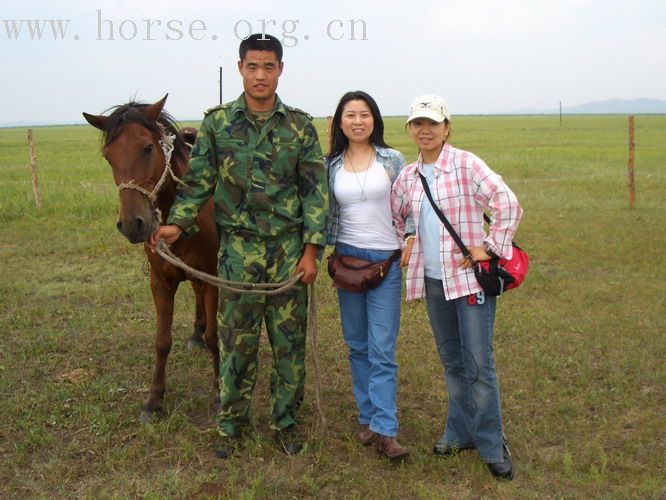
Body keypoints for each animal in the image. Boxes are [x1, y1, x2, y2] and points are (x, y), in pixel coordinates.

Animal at [82, 94, 219, 422]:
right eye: (108, 157)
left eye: (147, 147)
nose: (133, 224)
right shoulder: (160, 282)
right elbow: (161, 341)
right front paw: (154, 400)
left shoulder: (212, 277)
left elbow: (215, 336)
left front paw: (221, 392)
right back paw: (195, 334)